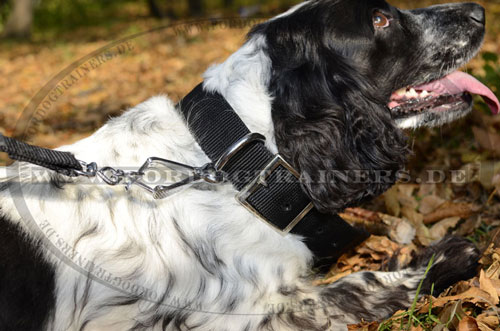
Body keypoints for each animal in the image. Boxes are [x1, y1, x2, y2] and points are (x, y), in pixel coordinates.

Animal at [0, 0, 496, 330]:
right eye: (380, 19)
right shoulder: (249, 312)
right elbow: (358, 284)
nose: (477, 10)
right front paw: (443, 258)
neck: (229, 159)